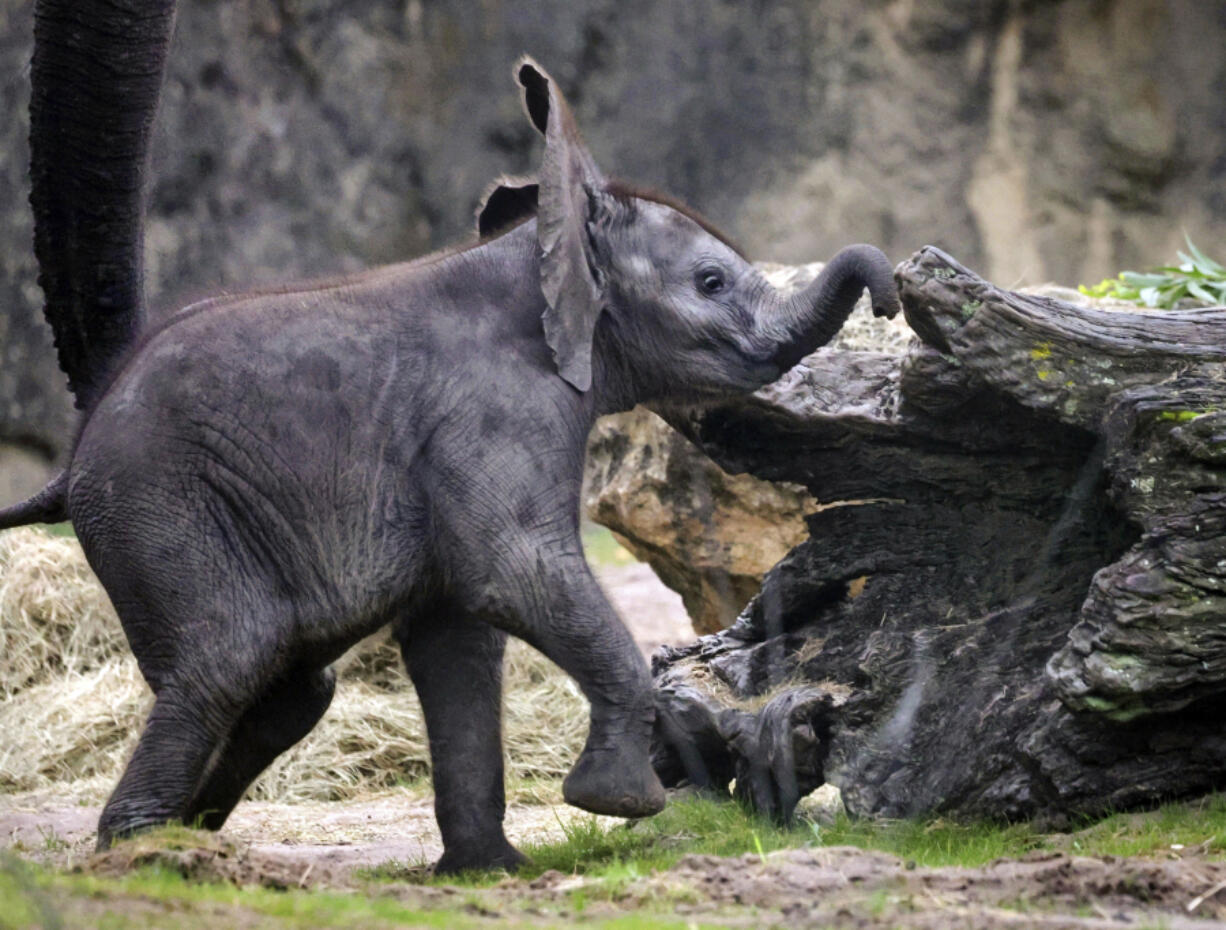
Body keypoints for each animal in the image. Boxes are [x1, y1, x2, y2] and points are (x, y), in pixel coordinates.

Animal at [2, 0, 902, 872]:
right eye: (711, 283)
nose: (893, 294)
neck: (541, 252)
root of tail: (75, 457)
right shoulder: (496, 411)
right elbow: (513, 572)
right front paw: (620, 803)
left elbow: (459, 640)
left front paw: (496, 870)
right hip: (160, 507)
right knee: (227, 658)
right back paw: (145, 851)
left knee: (287, 689)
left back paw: (192, 835)